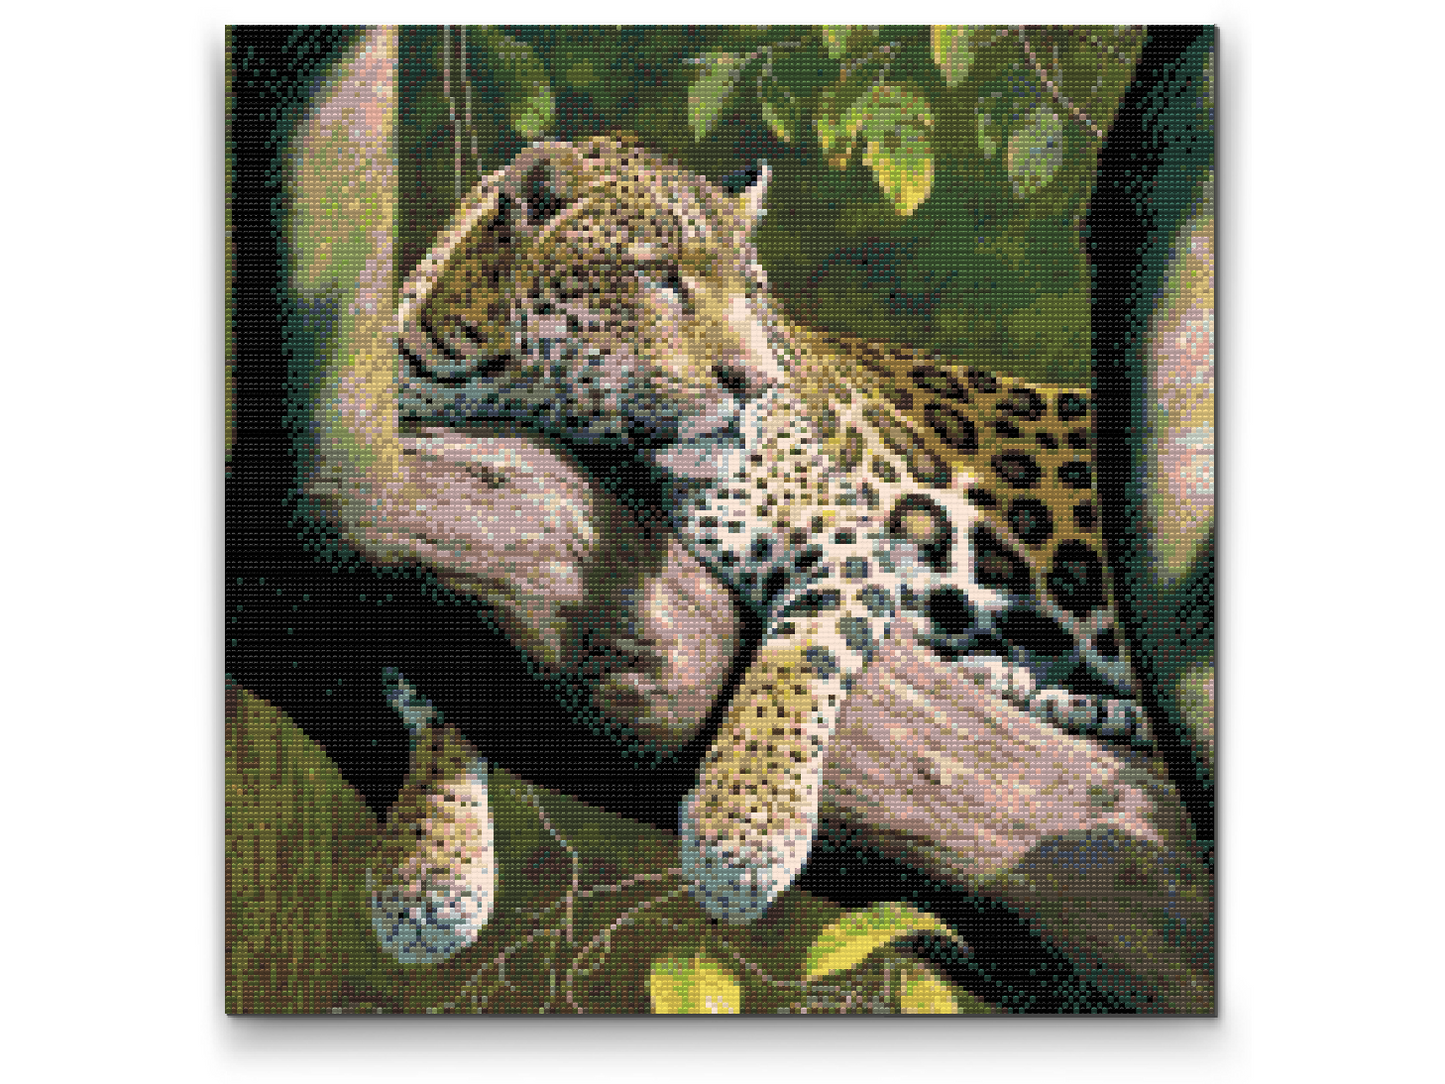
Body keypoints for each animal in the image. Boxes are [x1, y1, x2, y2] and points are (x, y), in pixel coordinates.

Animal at [373, 132, 1147, 958]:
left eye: (751, 293)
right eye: (659, 276)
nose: (753, 381)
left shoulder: (837, 536)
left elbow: (796, 667)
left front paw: (744, 833)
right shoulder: (415, 535)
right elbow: (433, 691)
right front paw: (426, 866)